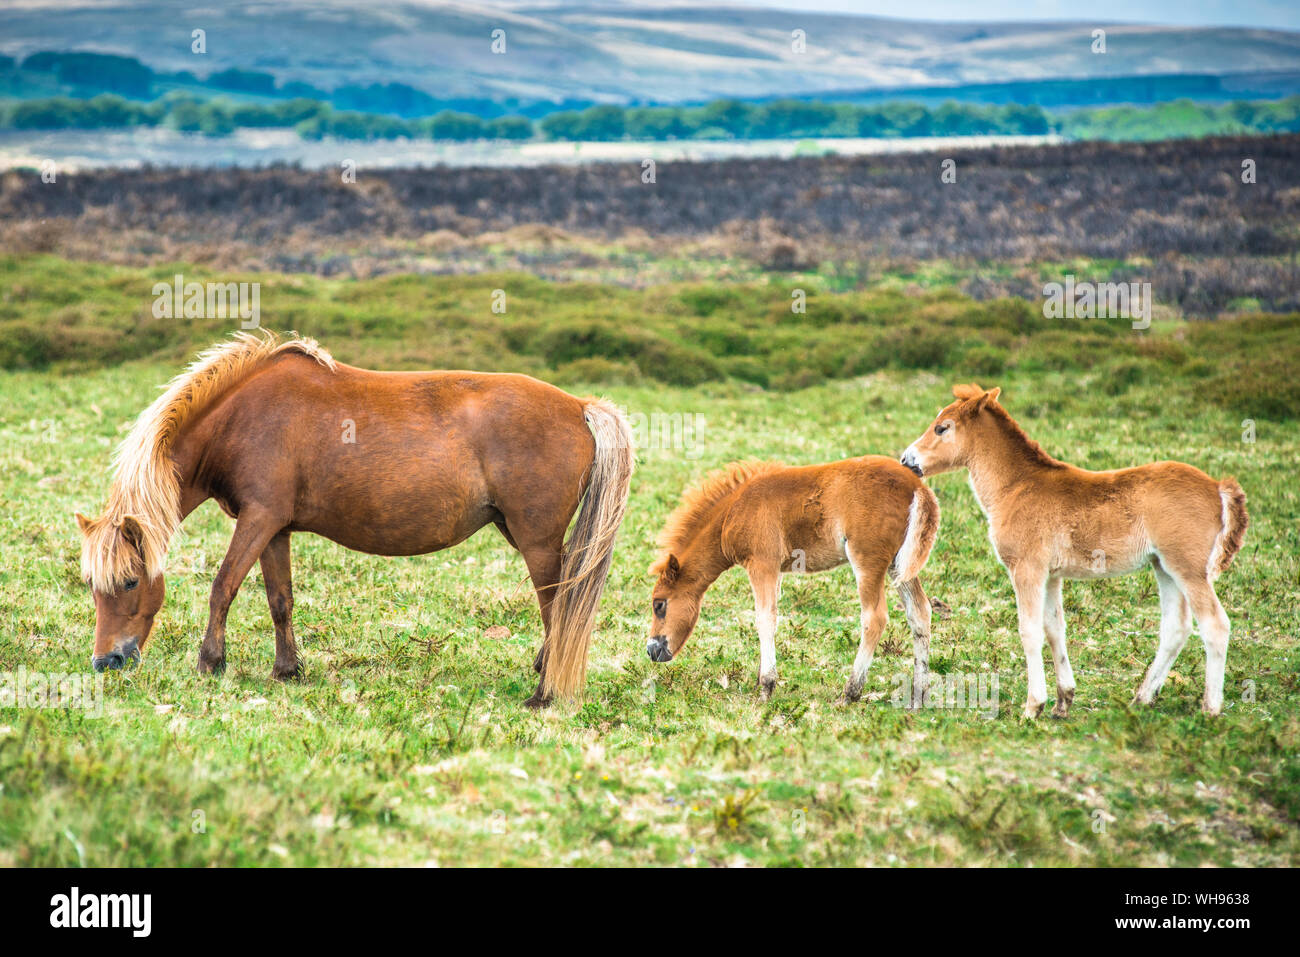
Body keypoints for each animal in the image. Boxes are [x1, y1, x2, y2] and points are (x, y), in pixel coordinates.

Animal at [75, 332, 634, 706]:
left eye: (129, 582)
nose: (107, 661)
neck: (243, 417)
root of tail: (580, 406)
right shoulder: (275, 529)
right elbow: (280, 601)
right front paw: (287, 670)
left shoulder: (257, 520)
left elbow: (223, 586)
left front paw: (211, 663)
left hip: (537, 541)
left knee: (558, 608)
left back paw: (544, 691)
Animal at [645, 457, 939, 707]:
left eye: (659, 605)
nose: (652, 650)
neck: (733, 510)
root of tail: (916, 487)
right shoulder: (775, 570)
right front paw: (760, 681)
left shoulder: (762, 563)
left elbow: (765, 618)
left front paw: (766, 687)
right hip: (898, 565)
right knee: (920, 612)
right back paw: (919, 693)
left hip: (868, 558)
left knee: (874, 618)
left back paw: (850, 693)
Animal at [901, 383, 1248, 718]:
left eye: (942, 428)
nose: (907, 460)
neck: (1016, 486)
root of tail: (1218, 487)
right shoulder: (1052, 575)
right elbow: (1055, 629)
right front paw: (1062, 702)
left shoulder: (1027, 569)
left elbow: (1029, 631)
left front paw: (1033, 706)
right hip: (1163, 567)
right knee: (1176, 629)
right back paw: (1141, 699)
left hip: (1188, 569)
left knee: (1215, 626)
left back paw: (1210, 708)